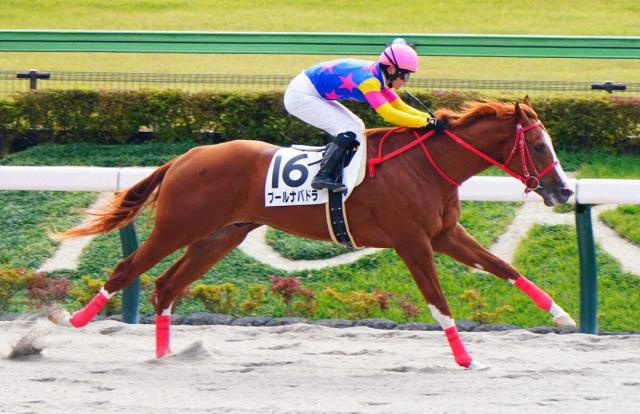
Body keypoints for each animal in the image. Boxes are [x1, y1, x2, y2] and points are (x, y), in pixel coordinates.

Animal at [49, 96, 576, 369]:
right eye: (537, 144)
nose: (564, 190)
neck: (426, 166)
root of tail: (186, 156)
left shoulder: (444, 234)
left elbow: (503, 266)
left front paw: (563, 316)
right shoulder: (412, 242)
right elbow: (438, 300)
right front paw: (465, 357)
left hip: (221, 236)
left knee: (165, 285)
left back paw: (165, 354)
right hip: (179, 225)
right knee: (127, 269)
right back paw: (60, 326)